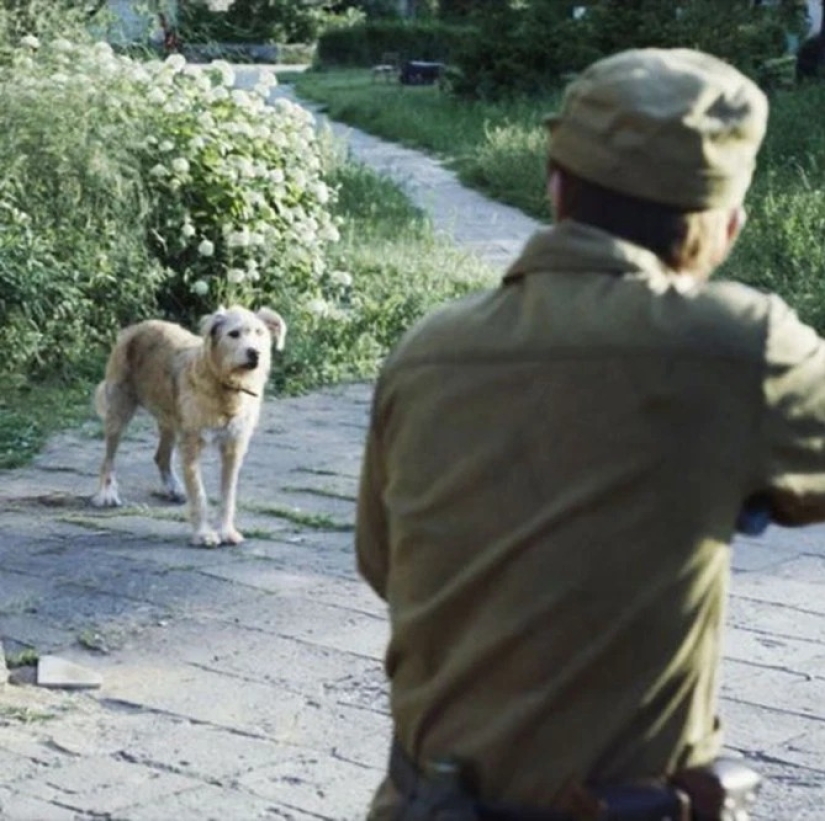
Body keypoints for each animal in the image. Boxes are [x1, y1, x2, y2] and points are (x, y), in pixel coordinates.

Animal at [91, 304, 286, 548]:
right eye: (234, 334)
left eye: (260, 333)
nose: (254, 353)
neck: (225, 387)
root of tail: (135, 327)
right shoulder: (192, 445)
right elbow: (199, 493)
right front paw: (203, 534)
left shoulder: (234, 446)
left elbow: (228, 494)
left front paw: (226, 531)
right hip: (119, 410)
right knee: (108, 458)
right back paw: (107, 494)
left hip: (170, 420)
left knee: (161, 456)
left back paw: (173, 488)